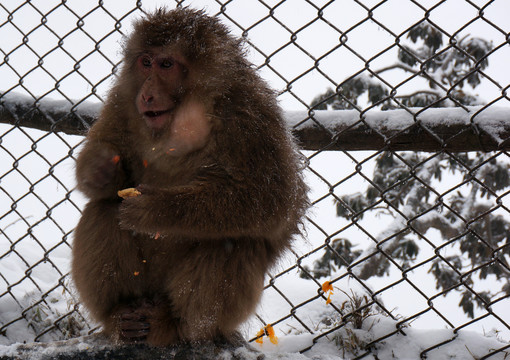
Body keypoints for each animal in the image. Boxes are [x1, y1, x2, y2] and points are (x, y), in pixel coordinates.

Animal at [72, 7, 308, 348]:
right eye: (146, 62)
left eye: (166, 65)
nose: (147, 93)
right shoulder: (122, 98)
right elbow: (103, 170)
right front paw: (101, 168)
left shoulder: (251, 114)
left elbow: (273, 202)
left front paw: (158, 210)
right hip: (145, 284)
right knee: (104, 209)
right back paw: (121, 315)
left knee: (233, 241)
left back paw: (176, 325)